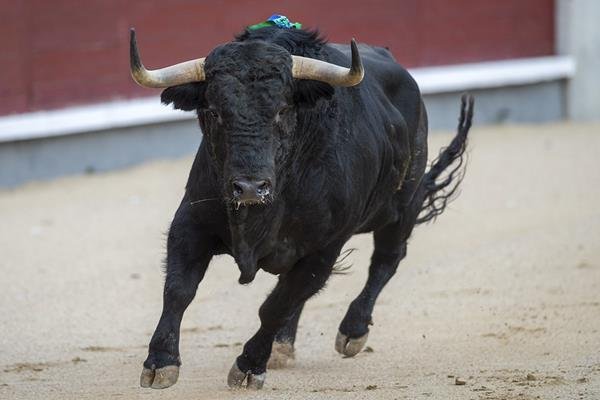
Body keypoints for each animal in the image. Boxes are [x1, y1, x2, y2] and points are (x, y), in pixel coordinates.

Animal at [137, 26, 474, 390]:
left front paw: (249, 366)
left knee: (385, 261)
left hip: (403, 205)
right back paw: (282, 345)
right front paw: (160, 362)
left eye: (282, 110)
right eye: (214, 111)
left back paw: (352, 331)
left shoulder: (324, 248)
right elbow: (179, 289)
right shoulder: (191, 223)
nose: (250, 188)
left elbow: (275, 306)